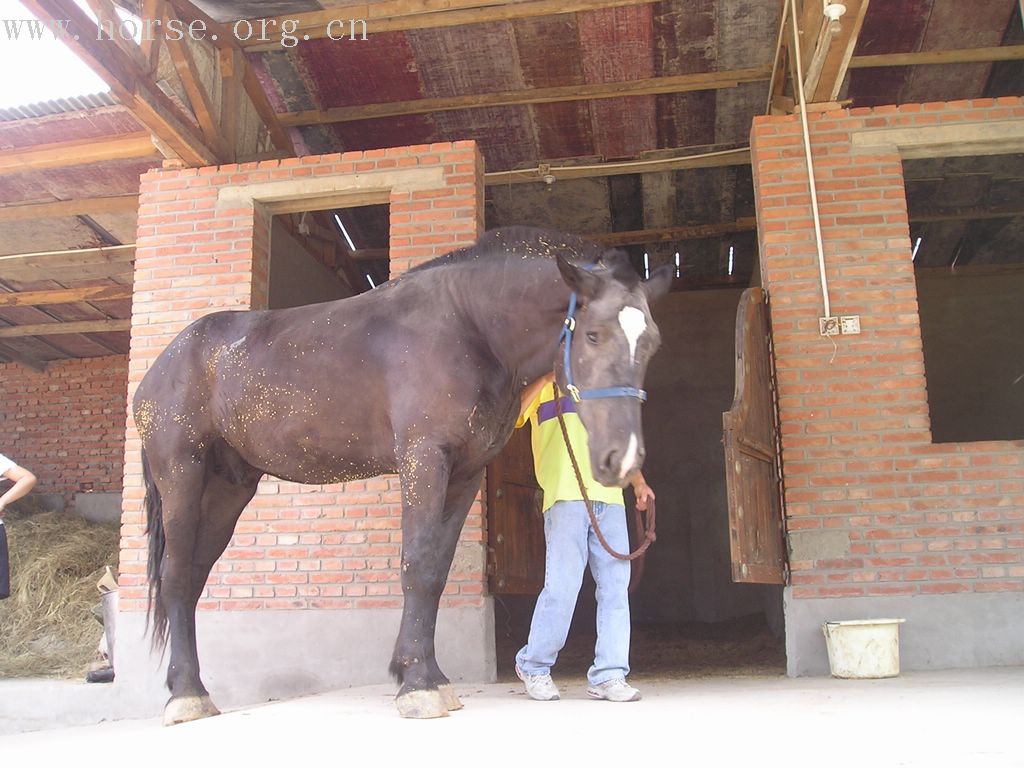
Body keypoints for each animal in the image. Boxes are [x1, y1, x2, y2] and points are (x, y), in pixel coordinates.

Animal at [136, 225, 675, 724]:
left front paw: (426, 675)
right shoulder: (424, 459)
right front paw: (418, 685)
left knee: (194, 578)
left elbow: (435, 570)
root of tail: (160, 366)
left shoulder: (465, 473)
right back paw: (185, 696)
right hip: (181, 475)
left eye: (652, 344)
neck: (469, 328)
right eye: (593, 335)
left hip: (229, 489)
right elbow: (415, 565)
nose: (622, 460)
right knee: (177, 578)